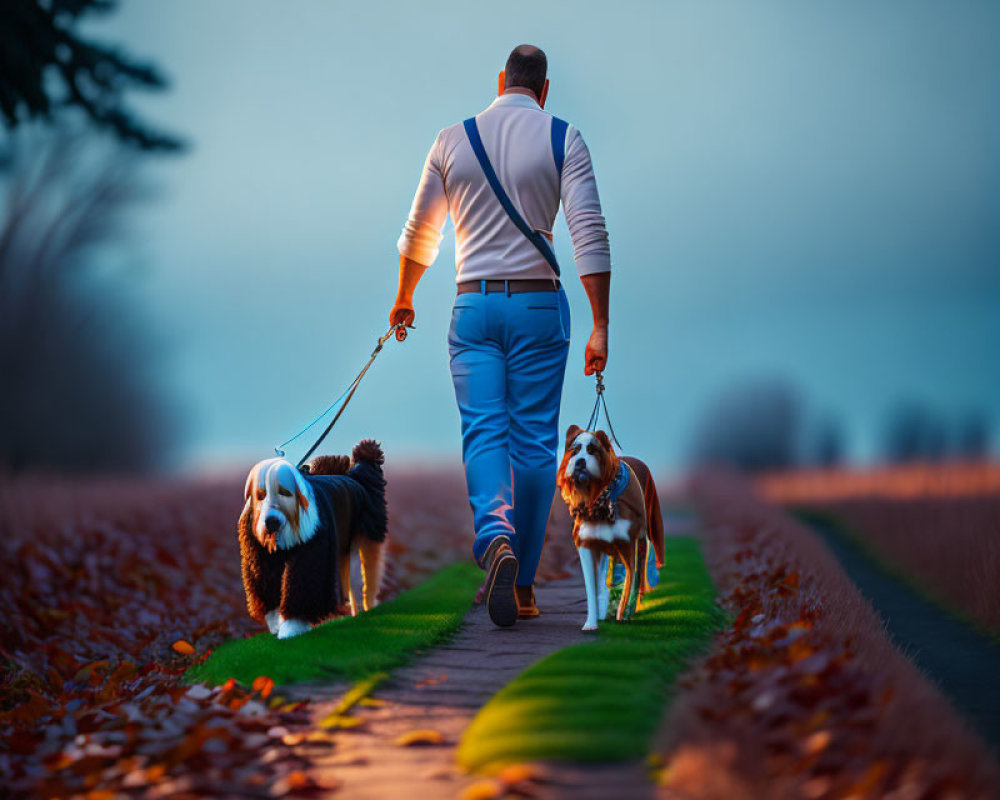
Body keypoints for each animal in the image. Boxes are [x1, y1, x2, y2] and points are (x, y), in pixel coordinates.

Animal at [237, 440, 386, 640]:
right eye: (260, 495)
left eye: (285, 492)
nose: (271, 522)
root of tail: (355, 475)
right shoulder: (261, 559)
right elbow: (269, 592)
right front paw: (276, 623)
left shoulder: (312, 552)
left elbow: (301, 591)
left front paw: (291, 628)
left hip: (365, 540)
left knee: (365, 578)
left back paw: (365, 608)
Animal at [556, 424, 664, 632]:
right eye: (575, 450)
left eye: (593, 450)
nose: (580, 462)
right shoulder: (586, 545)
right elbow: (592, 588)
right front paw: (591, 623)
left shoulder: (629, 541)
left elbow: (632, 579)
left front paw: (625, 612)